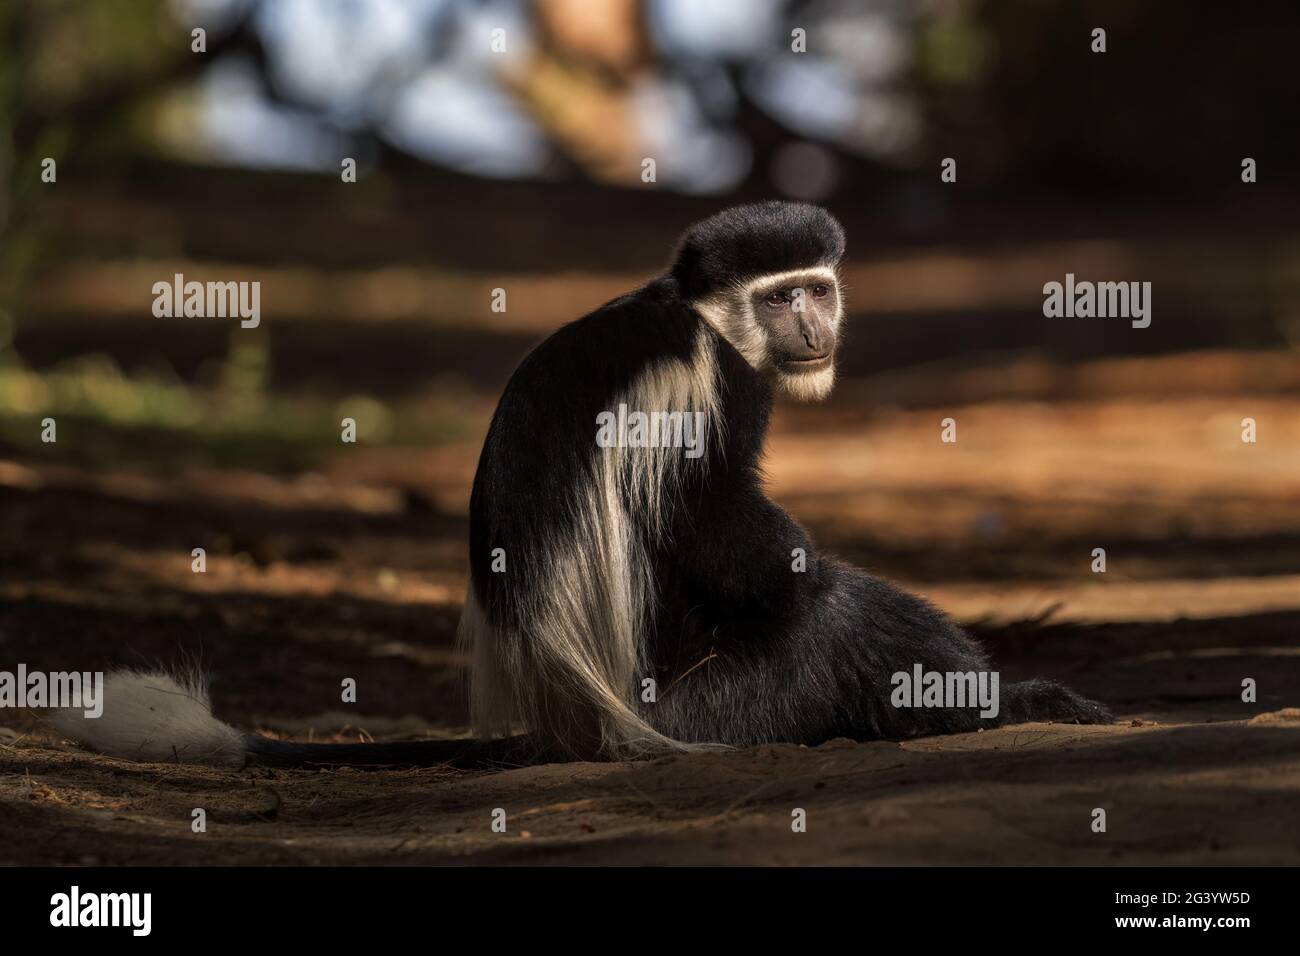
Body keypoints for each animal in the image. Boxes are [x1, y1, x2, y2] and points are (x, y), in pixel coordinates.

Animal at [53, 201, 1107, 770]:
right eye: (780, 297)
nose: (813, 325)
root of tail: (572, 717)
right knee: (830, 623)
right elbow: (716, 518)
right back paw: (1013, 700)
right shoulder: (702, 380)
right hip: (713, 709)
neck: (699, 313)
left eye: (817, 287)